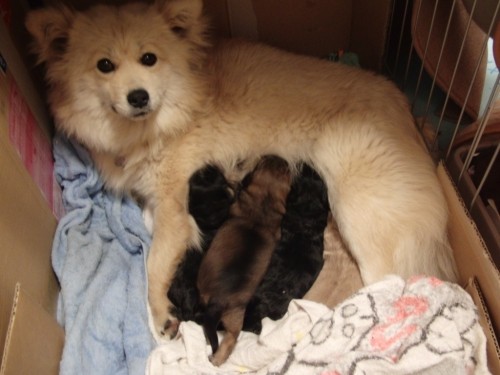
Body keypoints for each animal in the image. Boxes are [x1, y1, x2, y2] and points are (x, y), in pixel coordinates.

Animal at [197, 156, 292, 368]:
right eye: (267, 163)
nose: (279, 157)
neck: (264, 200)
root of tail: (218, 300)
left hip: (232, 316)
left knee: (230, 337)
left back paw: (217, 358)